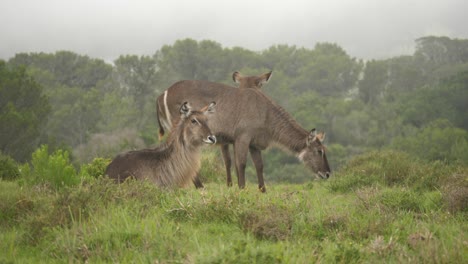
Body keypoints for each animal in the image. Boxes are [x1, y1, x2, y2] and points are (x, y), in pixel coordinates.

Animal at [156, 82, 330, 192]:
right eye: (319, 151)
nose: (327, 173)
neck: (266, 113)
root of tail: (162, 94)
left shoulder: (254, 144)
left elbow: (259, 165)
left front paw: (263, 190)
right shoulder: (243, 138)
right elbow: (241, 164)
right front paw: (242, 189)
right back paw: (200, 187)